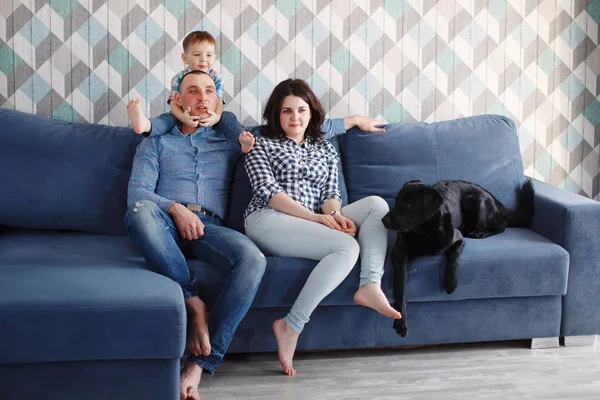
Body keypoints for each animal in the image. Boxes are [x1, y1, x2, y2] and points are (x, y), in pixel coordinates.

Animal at [382, 180, 532, 336]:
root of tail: (495, 199)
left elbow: (453, 260)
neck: (424, 232)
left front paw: (450, 283)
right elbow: (401, 287)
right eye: (396, 200)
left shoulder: (457, 239)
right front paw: (400, 321)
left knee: (502, 225)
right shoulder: (399, 255)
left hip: (474, 201)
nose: (383, 220)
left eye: (409, 204)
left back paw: (480, 233)